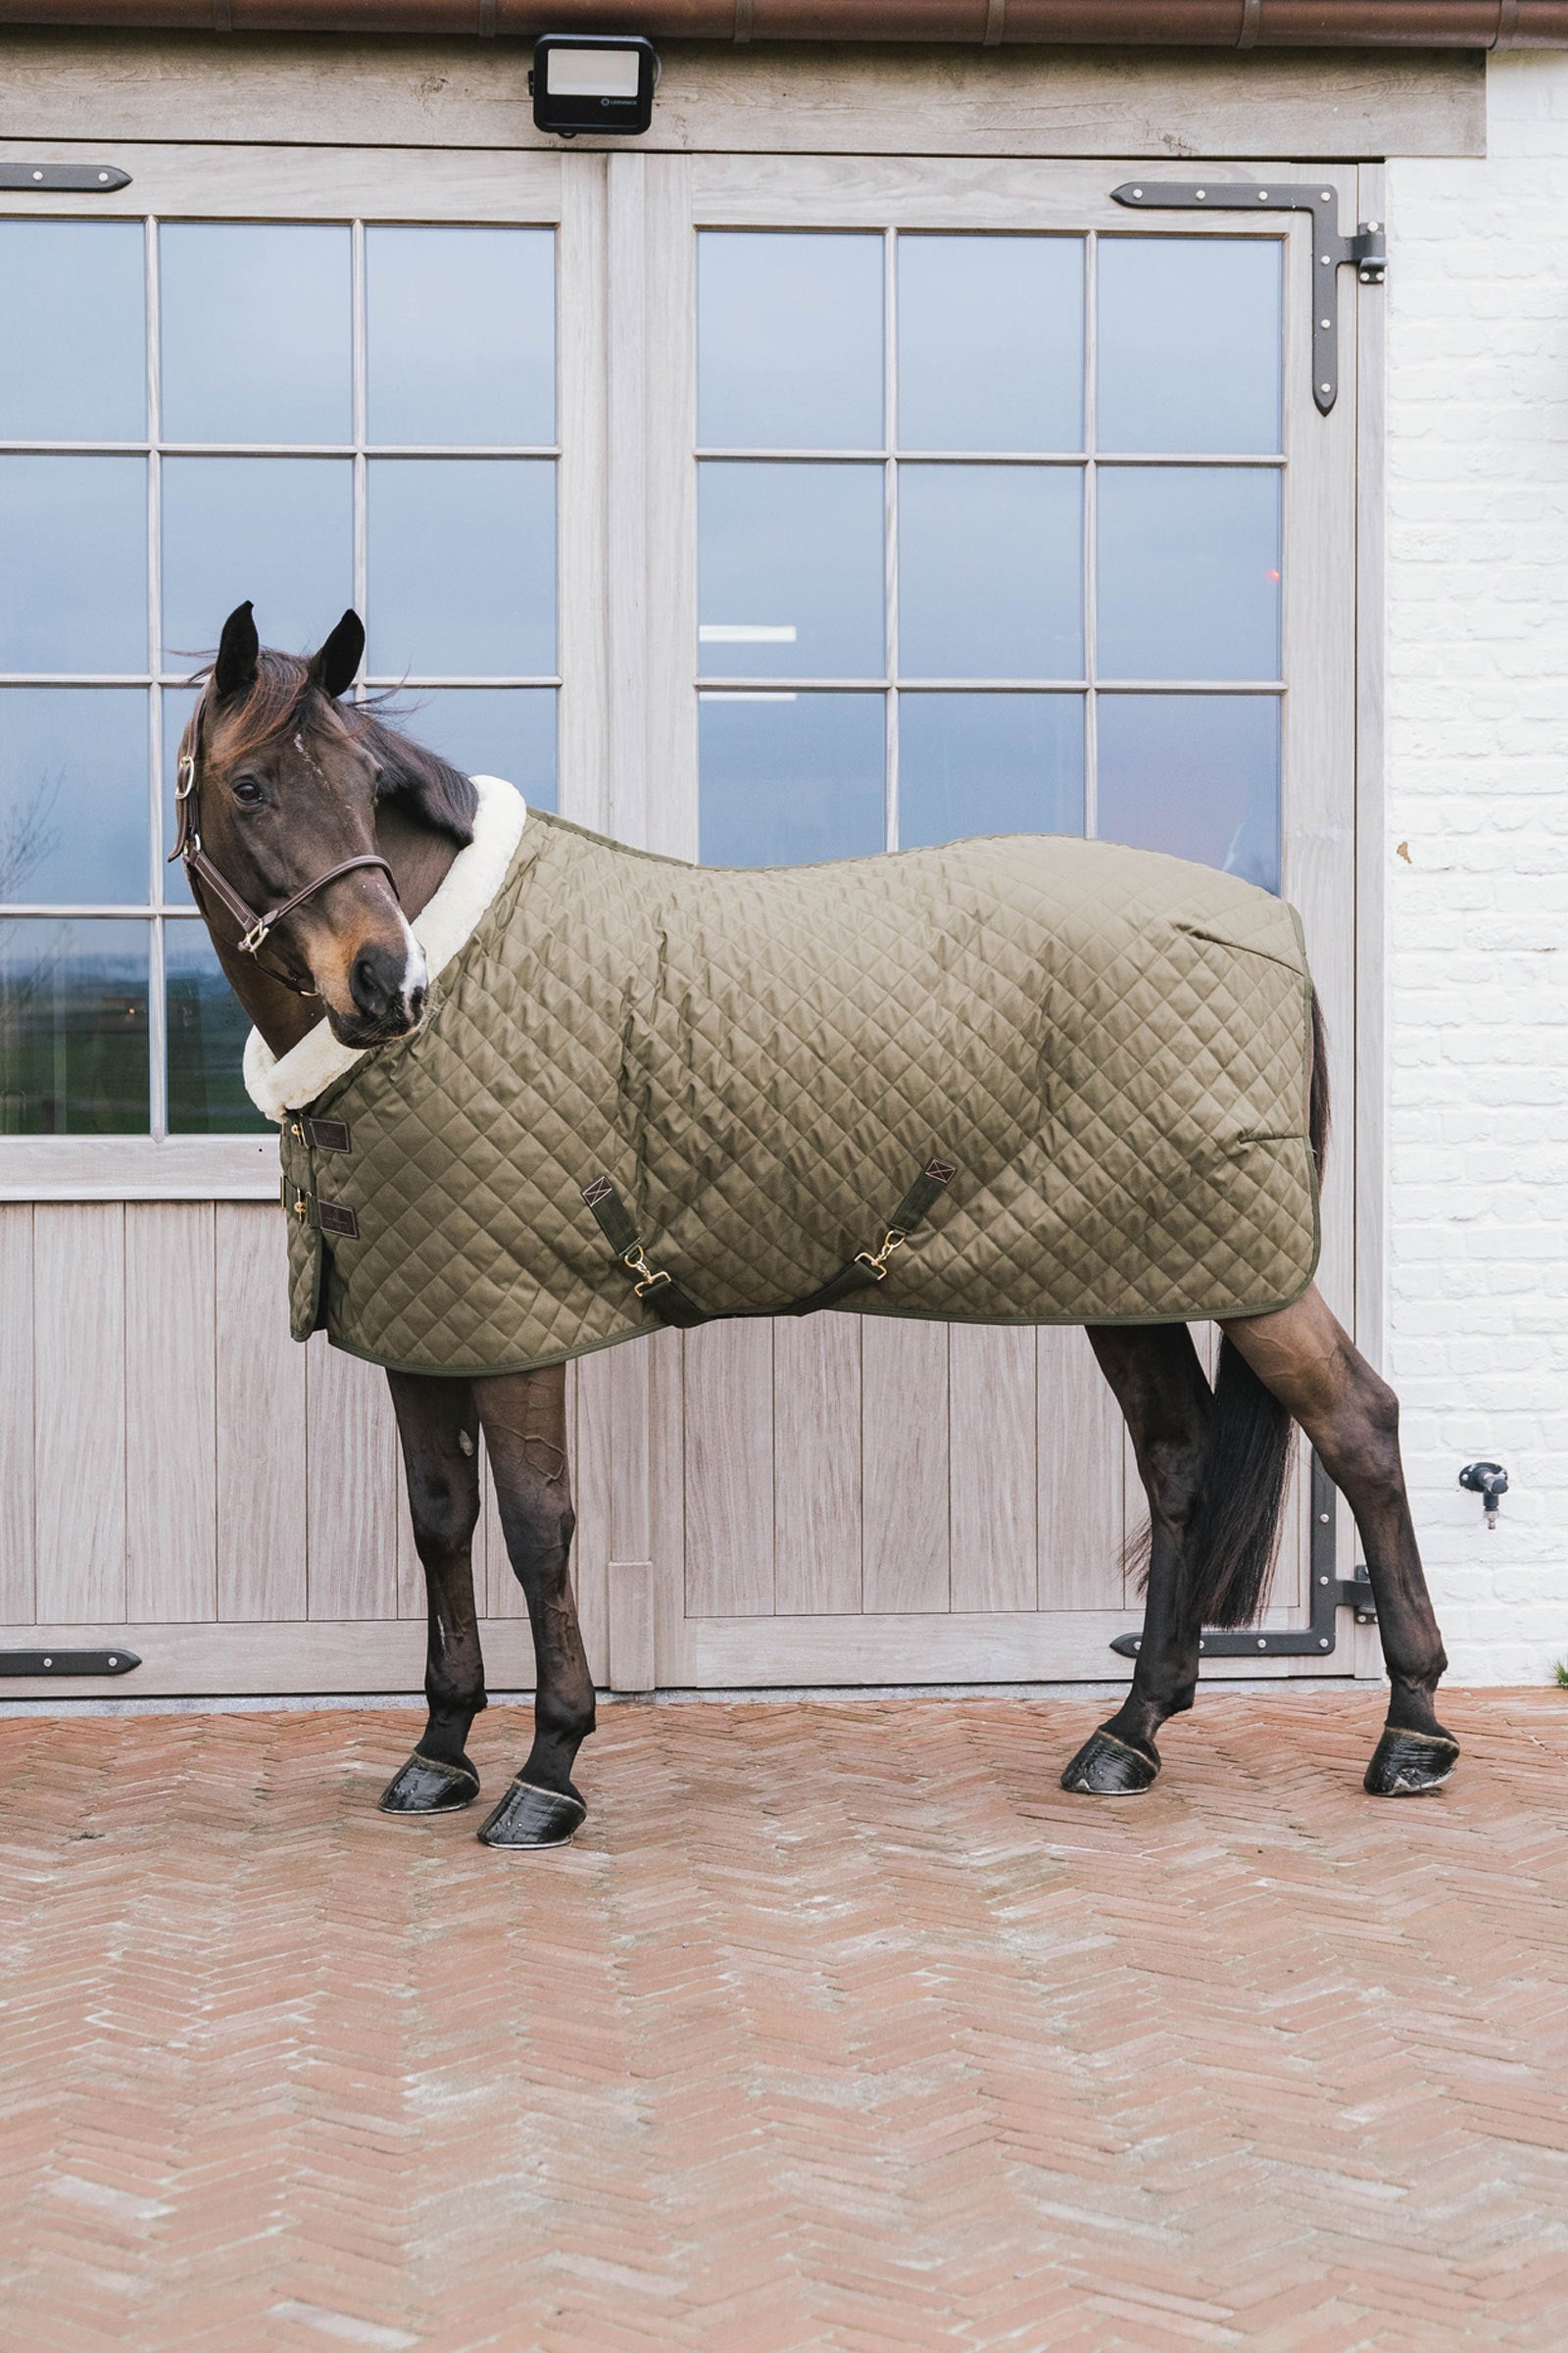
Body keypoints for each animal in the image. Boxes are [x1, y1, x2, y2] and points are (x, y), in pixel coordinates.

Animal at [175, 600, 1459, 1847]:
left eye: (362, 785)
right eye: (252, 786)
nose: (388, 985)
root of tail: (1268, 928)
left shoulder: (515, 1320)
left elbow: (538, 1530)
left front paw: (548, 1770)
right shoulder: (425, 1321)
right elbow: (441, 1523)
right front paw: (438, 1753)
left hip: (1243, 1273)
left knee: (1358, 1424)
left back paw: (1411, 1733)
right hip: (1128, 1273)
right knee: (1179, 1459)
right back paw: (1129, 1733)